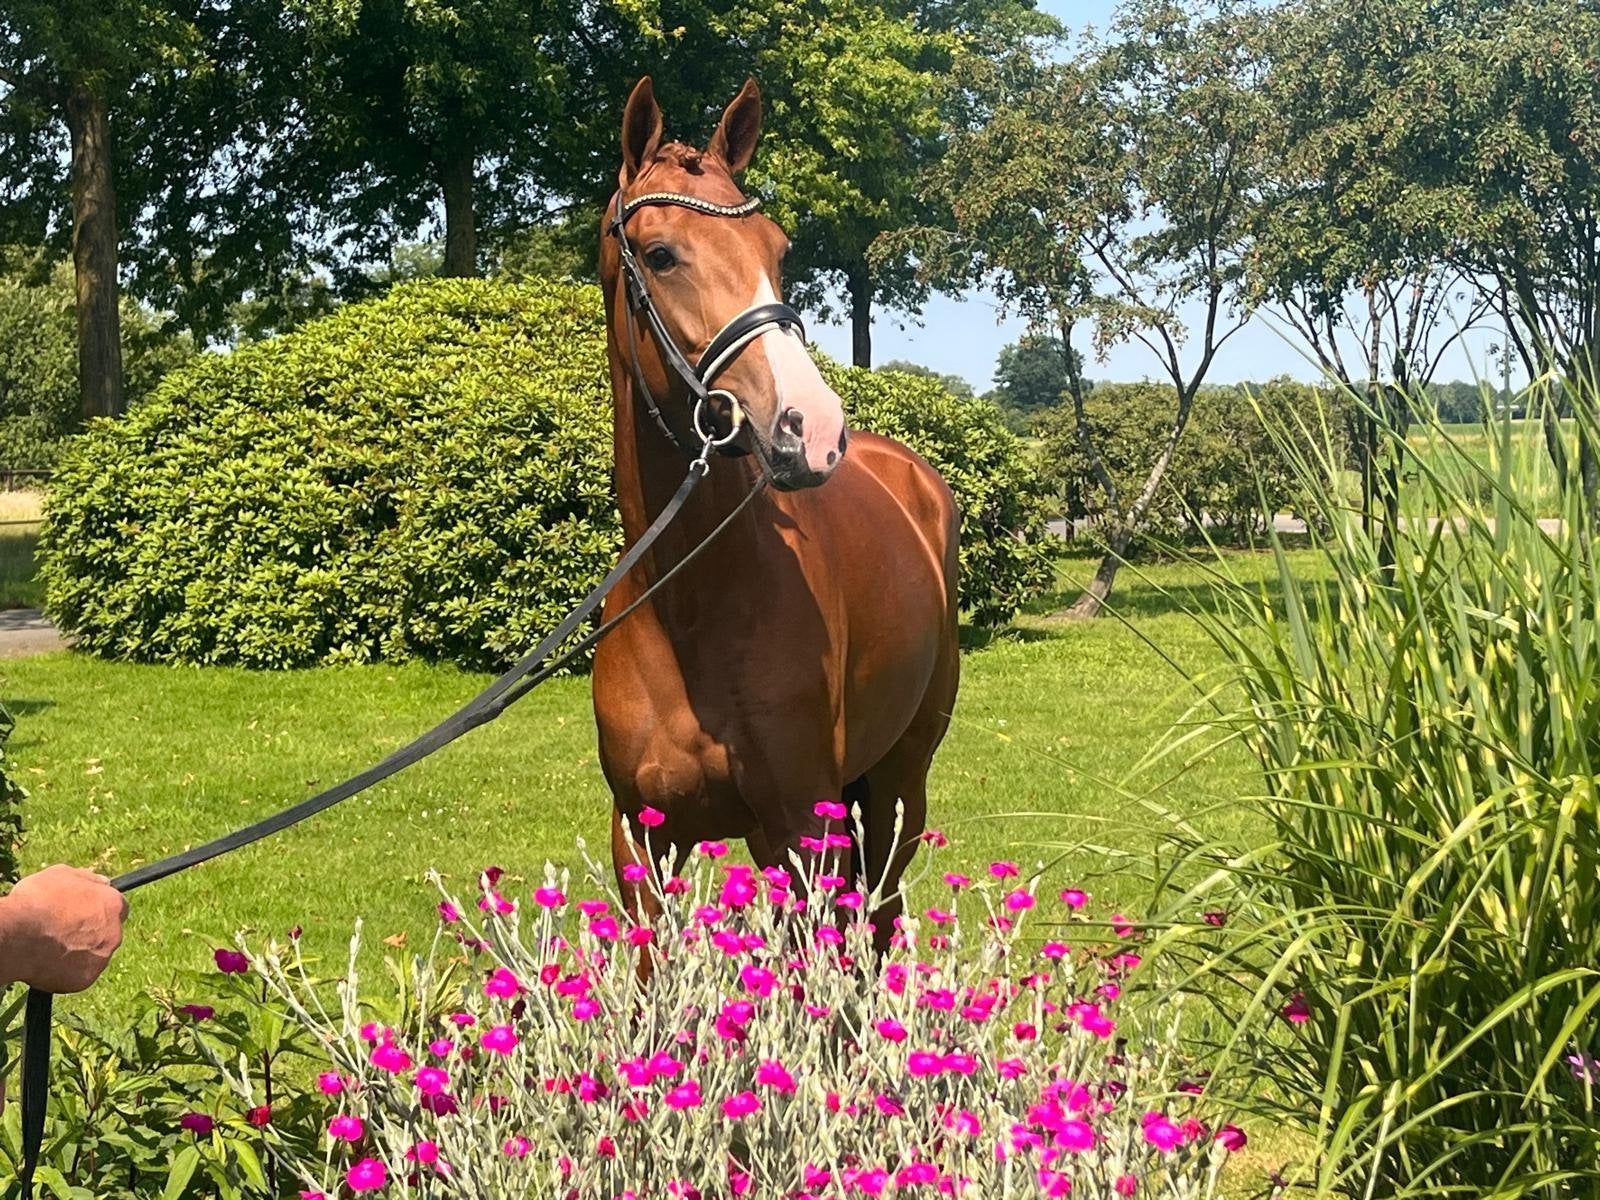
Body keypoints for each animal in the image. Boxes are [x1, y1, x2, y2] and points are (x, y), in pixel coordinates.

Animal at [592, 75, 960, 946]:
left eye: (779, 249)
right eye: (660, 254)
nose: (812, 428)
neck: (691, 609)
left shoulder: (800, 831)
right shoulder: (641, 841)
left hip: (898, 783)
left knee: (879, 921)